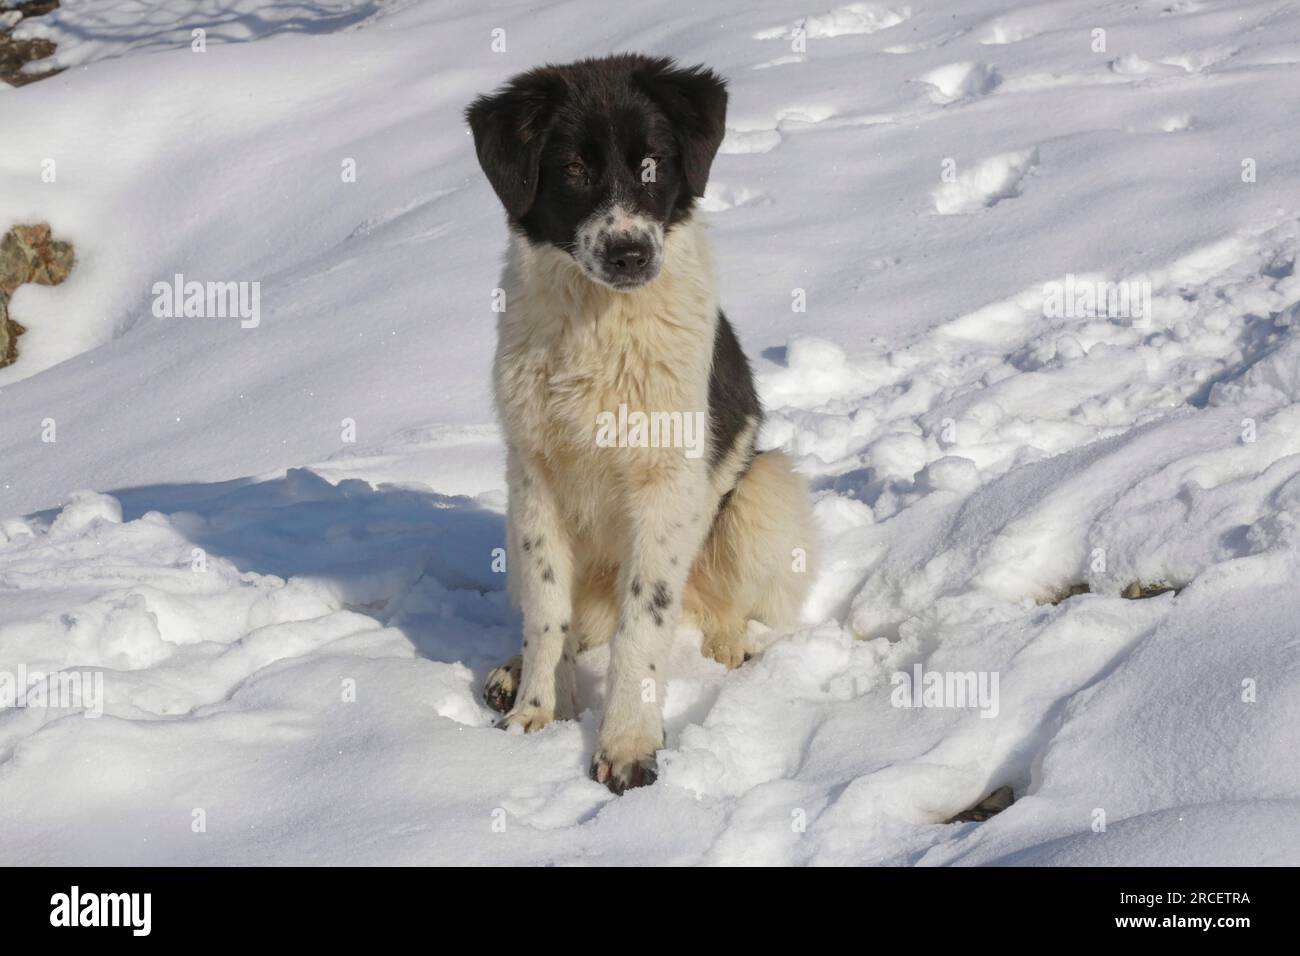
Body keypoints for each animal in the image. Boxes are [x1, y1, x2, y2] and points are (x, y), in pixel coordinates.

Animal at [465, 55, 811, 796]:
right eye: (572, 168)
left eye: (653, 164)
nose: (629, 253)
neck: (600, 327)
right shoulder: (533, 477)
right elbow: (547, 611)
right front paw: (537, 714)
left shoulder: (665, 487)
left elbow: (640, 628)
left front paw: (627, 743)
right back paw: (516, 671)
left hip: (765, 487)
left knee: (717, 612)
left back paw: (731, 647)